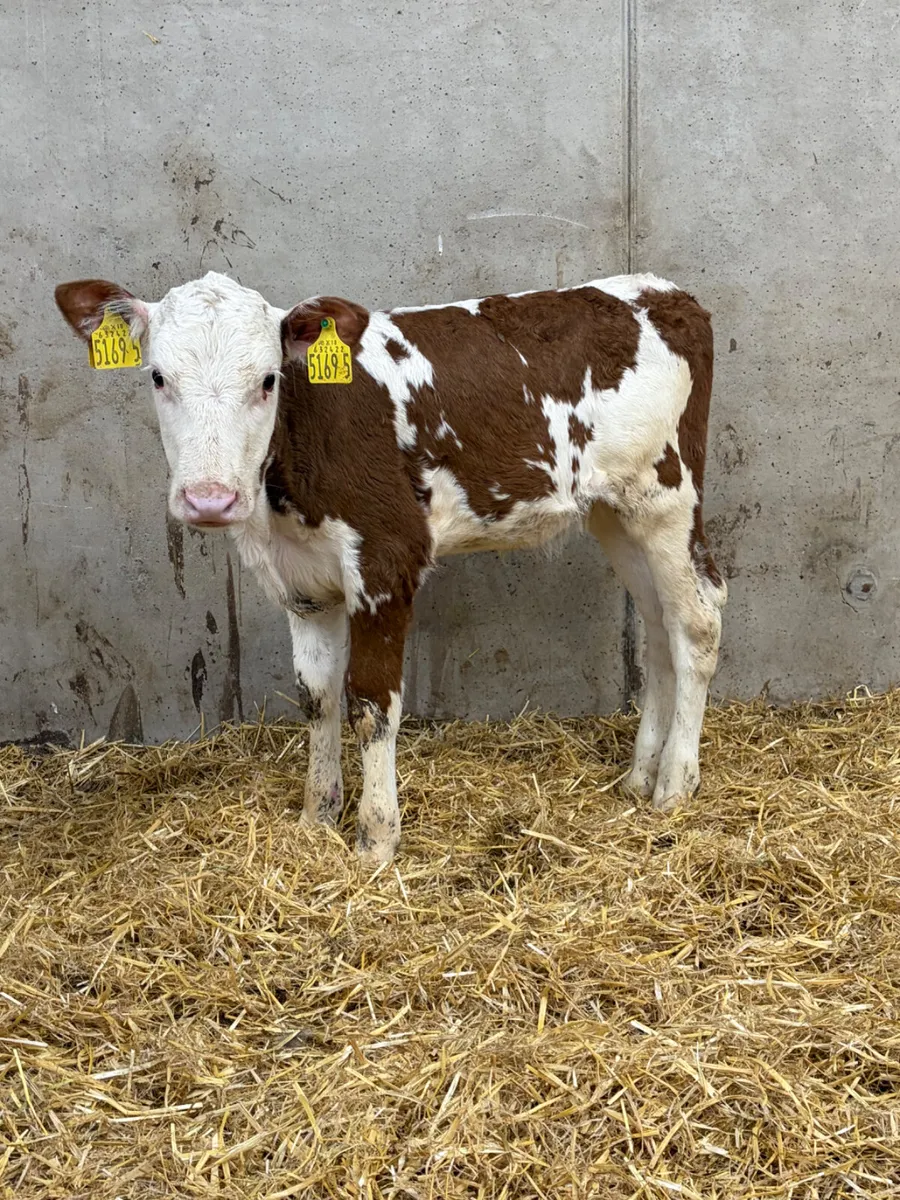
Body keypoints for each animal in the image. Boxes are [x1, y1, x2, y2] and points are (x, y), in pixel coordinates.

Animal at [55, 270, 726, 864]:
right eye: (158, 376)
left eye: (268, 379)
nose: (209, 499)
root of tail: (667, 293)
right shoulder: (303, 585)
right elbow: (318, 697)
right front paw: (317, 817)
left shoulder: (386, 562)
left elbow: (372, 704)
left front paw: (375, 839)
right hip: (616, 512)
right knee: (659, 627)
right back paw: (638, 776)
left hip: (667, 495)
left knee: (697, 620)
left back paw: (675, 785)